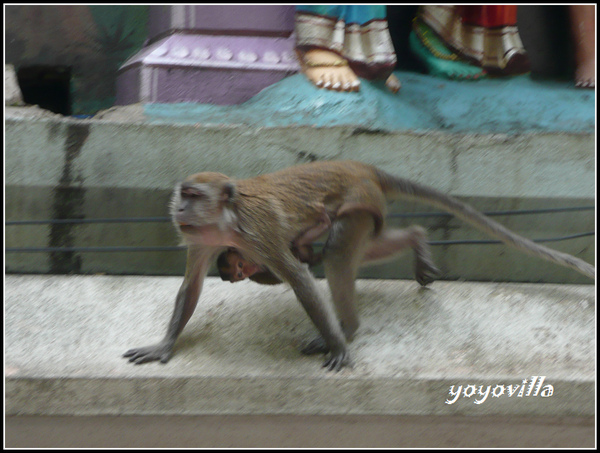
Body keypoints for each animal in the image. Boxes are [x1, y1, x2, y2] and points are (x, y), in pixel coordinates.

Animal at [123, 161, 596, 370]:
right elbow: (191, 289)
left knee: (336, 254)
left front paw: (337, 344)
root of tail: (360, 165)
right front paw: (163, 345)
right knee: (360, 249)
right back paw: (417, 239)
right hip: (367, 213)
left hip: (357, 205)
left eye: (192, 196)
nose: (178, 208)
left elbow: (299, 279)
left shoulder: (258, 234)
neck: (227, 222)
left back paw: (346, 330)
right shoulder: (202, 242)